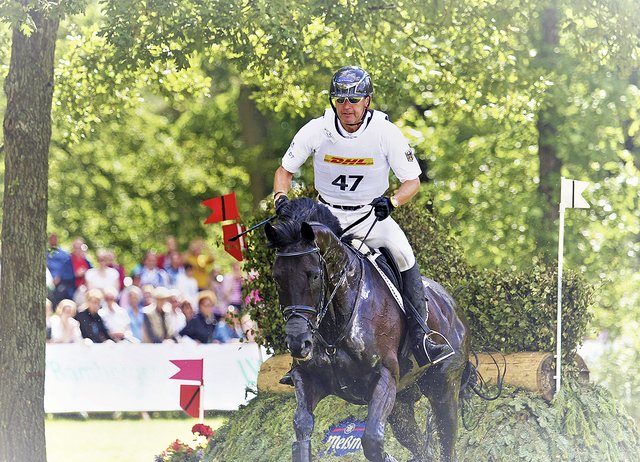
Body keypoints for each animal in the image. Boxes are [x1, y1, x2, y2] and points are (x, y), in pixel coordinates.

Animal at [264, 199, 470, 462]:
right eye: (276, 277)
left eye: (315, 275)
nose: (298, 343)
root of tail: (452, 304)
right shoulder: (308, 377)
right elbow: (302, 426)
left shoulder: (384, 377)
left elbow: (372, 440)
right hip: (402, 400)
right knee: (419, 445)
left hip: (443, 386)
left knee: (447, 439)